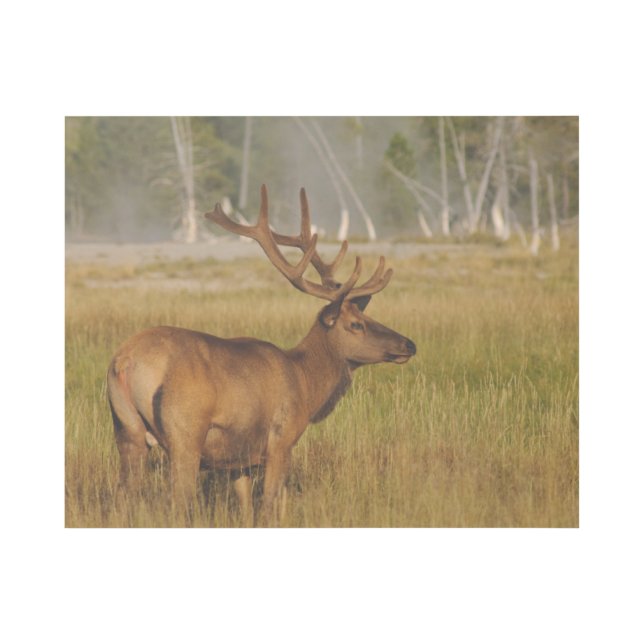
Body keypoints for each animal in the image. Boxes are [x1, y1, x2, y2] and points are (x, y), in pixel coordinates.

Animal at [107, 185, 416, 525]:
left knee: (120, 500)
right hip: (185, 434)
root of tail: (124, 361)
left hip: (127, 430)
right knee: (177, 502)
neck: (306, 384)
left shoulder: (239, 459)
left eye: (368, 317)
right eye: (356, 324)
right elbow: (269, 506)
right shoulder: (281, 439)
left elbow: (245, 509)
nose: (408, 344)